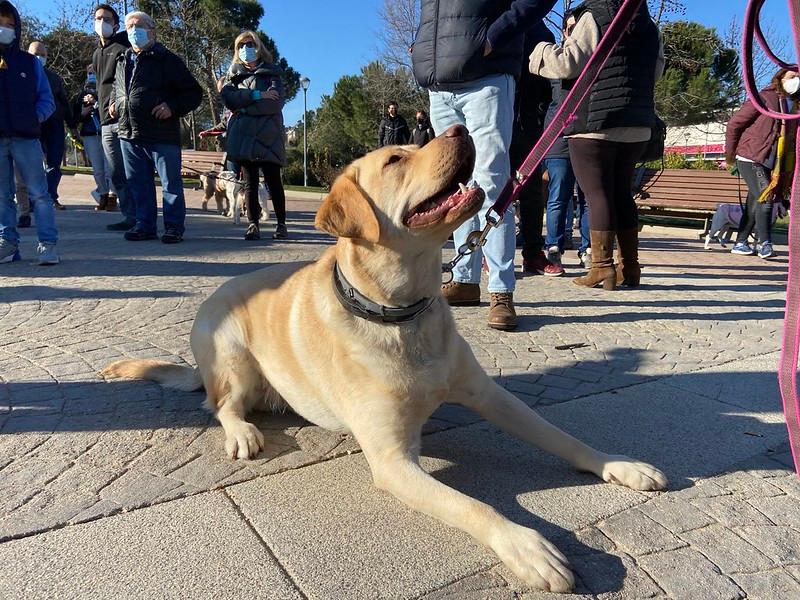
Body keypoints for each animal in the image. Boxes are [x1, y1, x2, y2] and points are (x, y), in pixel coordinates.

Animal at [106, 124, 668, 592]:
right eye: (397, 158)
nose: (460, 128)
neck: (402, 312)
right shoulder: (394, 461)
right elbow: (475, 506)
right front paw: (527, 547)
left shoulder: (490, 396)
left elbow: (562, 436)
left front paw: (619, 466)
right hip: (232, 357)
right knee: (220, 405)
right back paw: (242, 431)